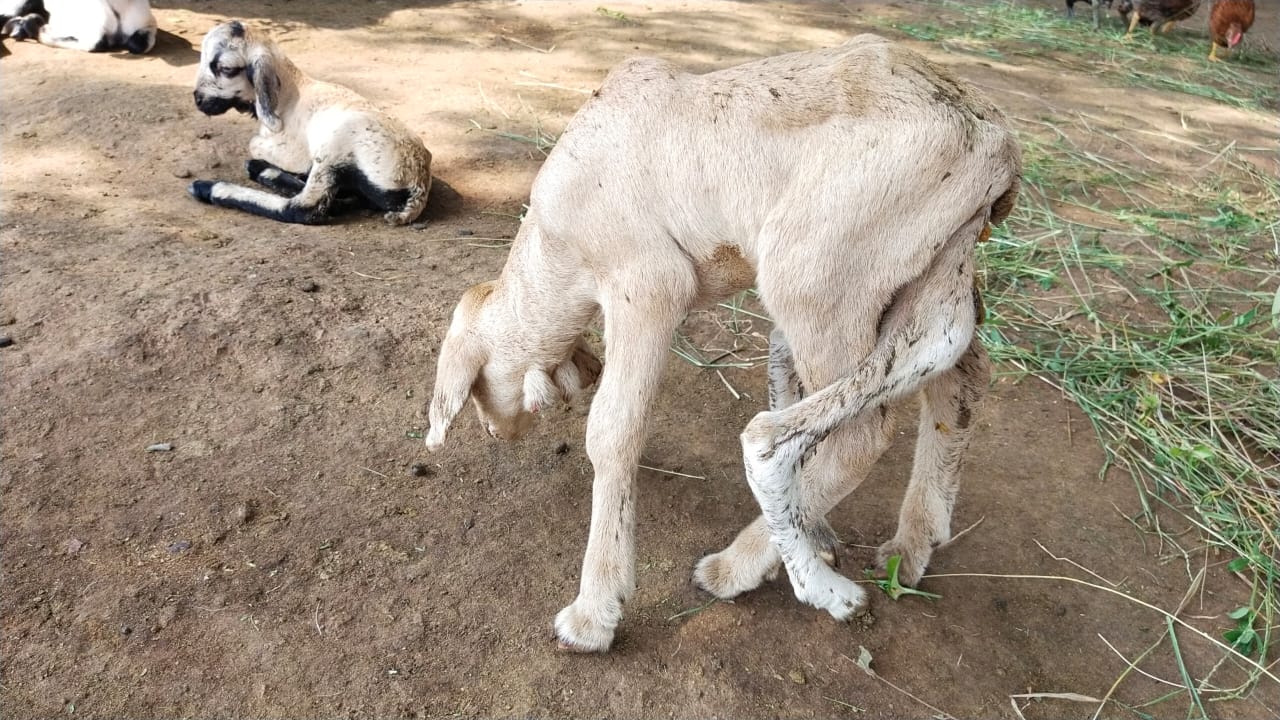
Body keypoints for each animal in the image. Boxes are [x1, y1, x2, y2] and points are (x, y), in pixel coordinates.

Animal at [186, 20, 432, 224]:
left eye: (226, 69)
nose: (198, 100)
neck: (289, 95)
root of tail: (416, 187)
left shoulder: (294, 152)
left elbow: (254, 143)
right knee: (341, 200)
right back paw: (260, 169)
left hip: (336, 147)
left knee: (304, 208)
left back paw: (207, 187)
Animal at [424, 33, 1024, 650]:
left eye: (475, 391)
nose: (496, 434)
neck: (555, 259)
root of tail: (995, 137)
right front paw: (816, 537)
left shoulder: (648, 284)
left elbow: (614, 432)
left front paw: (594, 614)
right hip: (933, 260)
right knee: (962, 373)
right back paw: (909, 547)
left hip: (820, 271)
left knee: (861, 435)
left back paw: (743, 569)